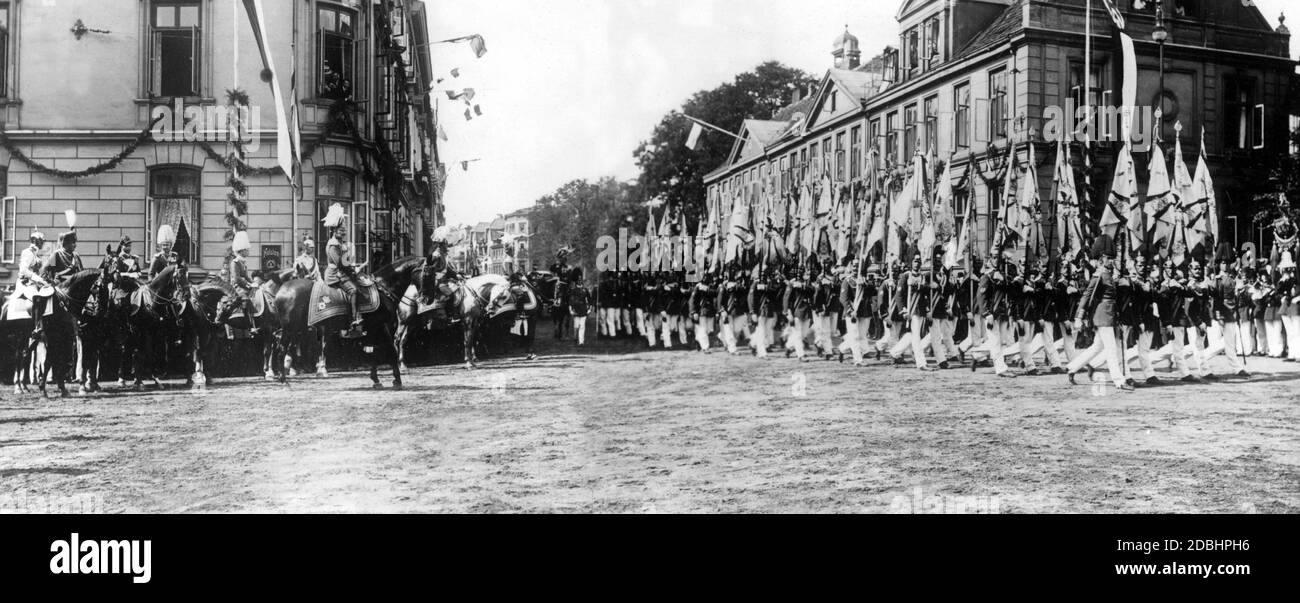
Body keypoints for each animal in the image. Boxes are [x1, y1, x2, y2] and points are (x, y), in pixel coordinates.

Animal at [270, 257, 421, 389]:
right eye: (426, 272)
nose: (422, 298)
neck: (383, 290)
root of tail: (281, 291)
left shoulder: (374, 328)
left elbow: (375, 351)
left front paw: (377, 379)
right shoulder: (379, 326)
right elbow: (389, 349)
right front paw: (397, 379)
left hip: (292, 329)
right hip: (291, 328)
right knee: (281, 349)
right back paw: (284, 380)